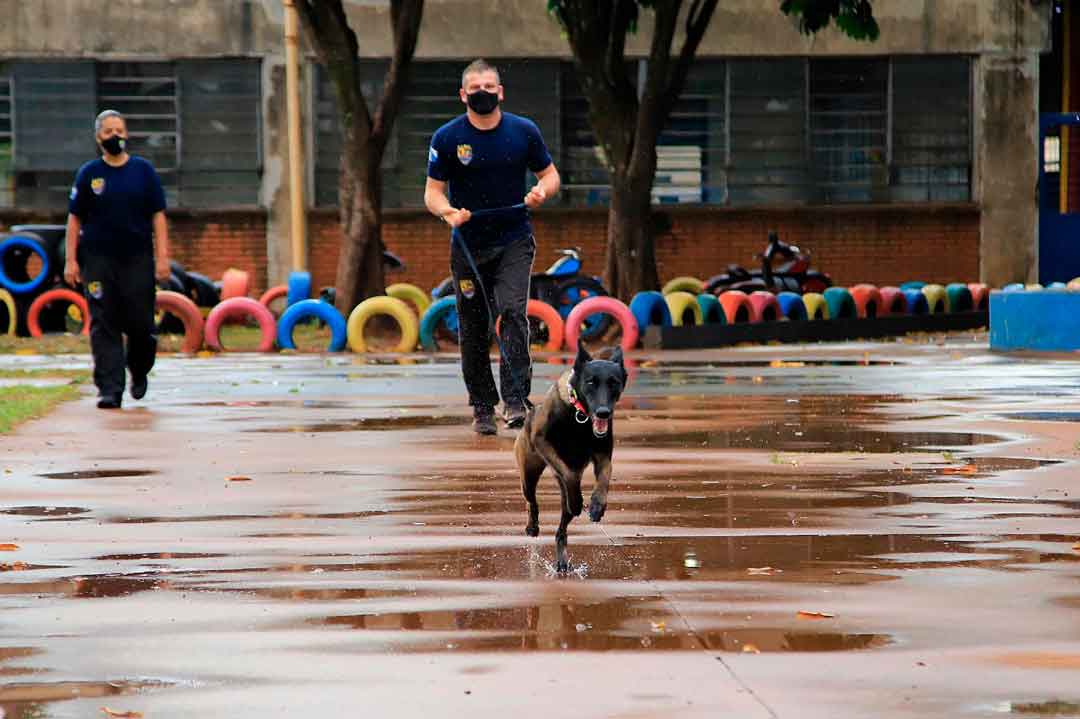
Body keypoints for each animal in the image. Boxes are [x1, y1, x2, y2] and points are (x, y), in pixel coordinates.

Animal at [511, 341, 630, 570]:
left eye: (614, 383)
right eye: (591, 382)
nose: (603, 412)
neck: (579, 416)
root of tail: (531, 410)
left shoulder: (603, 456)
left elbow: (604, 478)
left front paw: (597, 506)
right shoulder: (544, 443)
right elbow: (569, 475)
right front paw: (578, 501)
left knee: (561, 530)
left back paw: (562, 561)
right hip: (528, 473)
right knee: (532, 501)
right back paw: (533, 526)